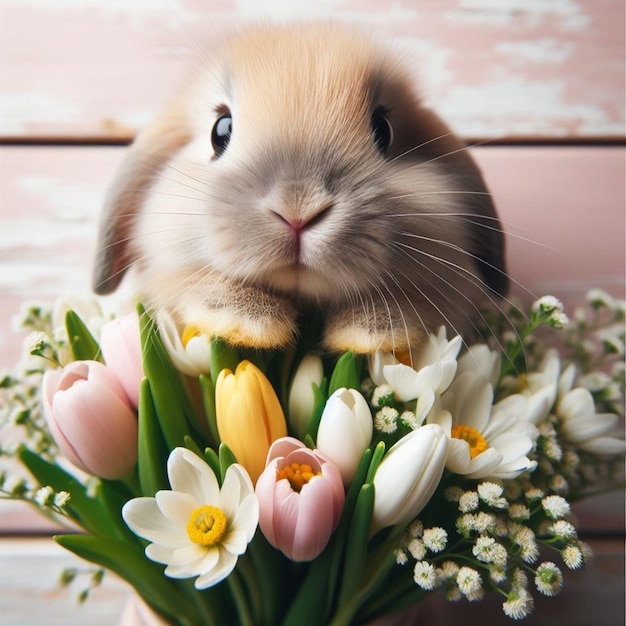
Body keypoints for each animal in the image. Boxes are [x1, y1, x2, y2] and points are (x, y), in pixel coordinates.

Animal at [95, 22, 510, 354]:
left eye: (383, 131)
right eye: (220, 130)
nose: (298, 210)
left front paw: (368, 334)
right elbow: (187, 283)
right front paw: (250, 323)